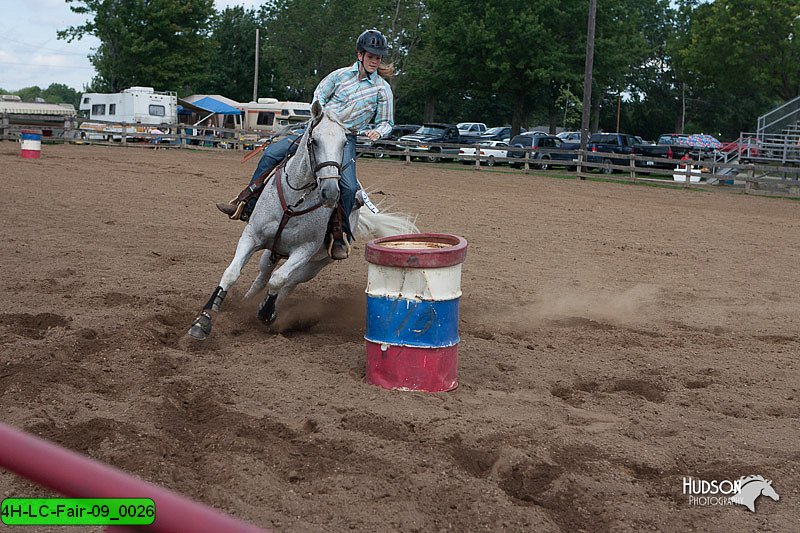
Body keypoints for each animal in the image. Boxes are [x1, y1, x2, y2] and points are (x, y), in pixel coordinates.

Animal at [188, 102, 418, 338]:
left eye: (344, 142)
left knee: (289, 281)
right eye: (314, 140)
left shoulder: (304, 250)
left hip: (314, 264)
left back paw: (267, 310)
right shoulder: (252, 236)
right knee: (263, 276)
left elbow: (279, 280)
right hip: (273, 251)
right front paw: (204, 320)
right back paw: (246, 302)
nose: (330, 192)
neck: (295, 199)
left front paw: (266, 312)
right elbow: (231, 273)